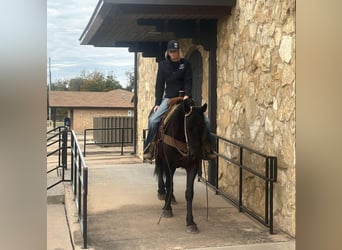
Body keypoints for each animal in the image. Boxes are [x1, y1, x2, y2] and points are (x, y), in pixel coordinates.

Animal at [156, 97, 208, 232]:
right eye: (188, 127)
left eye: (203, 126)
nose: (196, 153)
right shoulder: (169, 164)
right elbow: (169, 184)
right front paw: (167, 209)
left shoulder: (192, 167)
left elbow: (189, 193)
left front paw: (190, 222)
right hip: (160, 157)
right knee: (161, 172)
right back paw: (162, 192)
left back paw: (172, 198)